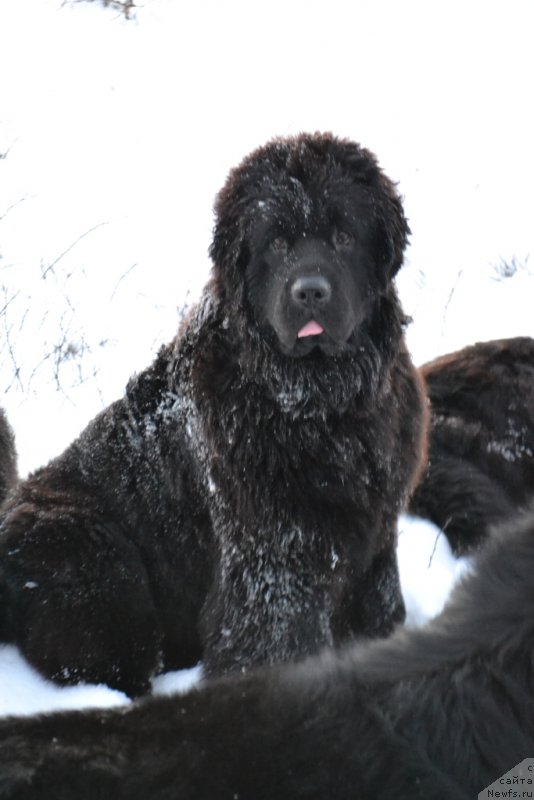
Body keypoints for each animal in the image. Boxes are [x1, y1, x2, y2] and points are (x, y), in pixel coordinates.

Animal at [0, 131, 428, 692]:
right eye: (276, 243)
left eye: (342, 237)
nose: (310, 291)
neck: (323, 406)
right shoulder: (272, 558)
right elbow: (276, 642)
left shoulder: (376, 536)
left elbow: (379, 610)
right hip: (100, 573)